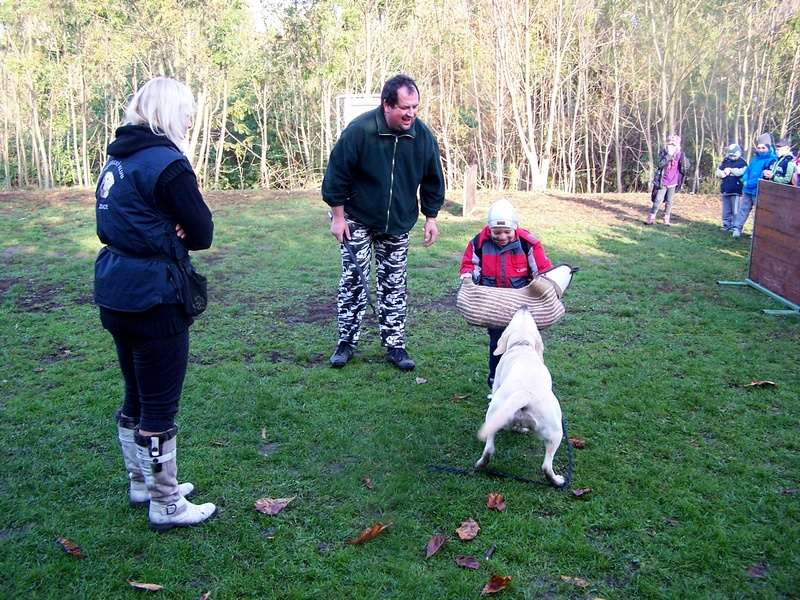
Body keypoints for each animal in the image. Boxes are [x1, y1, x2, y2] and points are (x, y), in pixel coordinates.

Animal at [472, 308, 564, 486]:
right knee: (546, 466)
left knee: (489, 449)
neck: (522, 345)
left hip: (494, 416)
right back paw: (557, 481)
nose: (524, 306)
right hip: (556, 432)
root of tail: (525, 394)